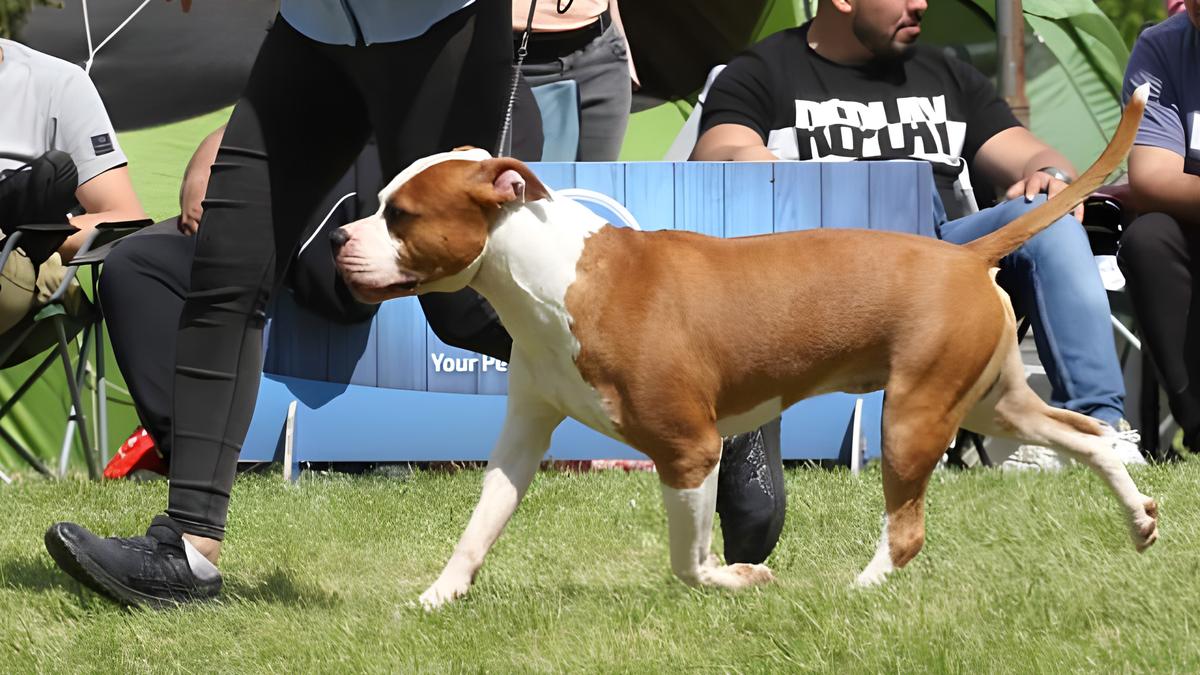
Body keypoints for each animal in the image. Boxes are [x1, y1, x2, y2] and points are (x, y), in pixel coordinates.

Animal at [333, 85, 1156, 610]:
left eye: (401, 215)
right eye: (380, 204)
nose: (340, 237)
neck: (553, 273)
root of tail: (962, 254)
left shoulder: (688, 449)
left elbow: (688, 563)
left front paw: (740, 580)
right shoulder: (523, 435)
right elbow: (480, 525)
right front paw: (439, 596)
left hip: (913, 415)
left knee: (907, 529)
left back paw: (859, 588)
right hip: (990, 404)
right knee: (1086, 437)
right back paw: (1140, 517)